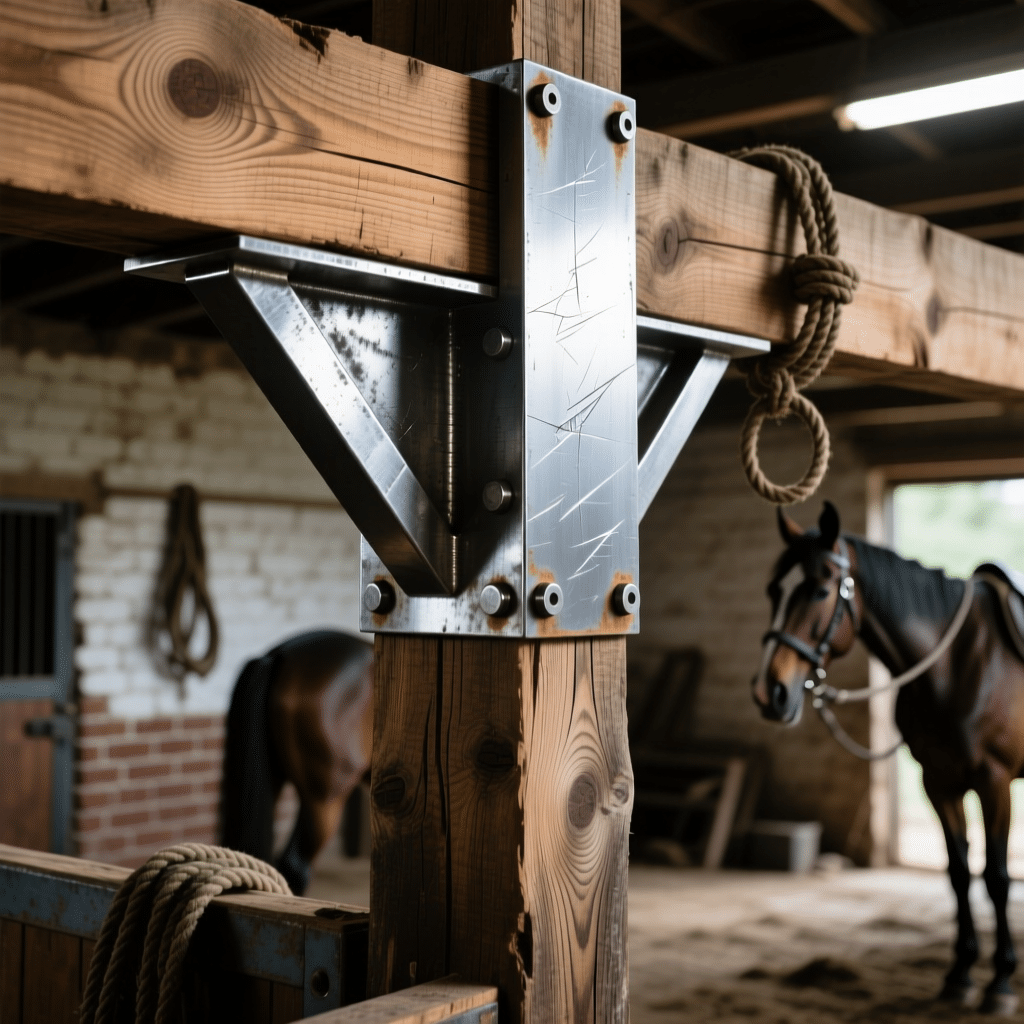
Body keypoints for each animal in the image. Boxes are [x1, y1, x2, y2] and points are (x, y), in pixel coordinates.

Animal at [752, 502, 1024, 1015]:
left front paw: (1000, 982)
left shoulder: (994, 782)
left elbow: (997, 877)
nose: (768, 693)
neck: (960, 664)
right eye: (773, 590)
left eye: (820, 590)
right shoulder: (938, 782)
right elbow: (959, 874)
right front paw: (959, 974)